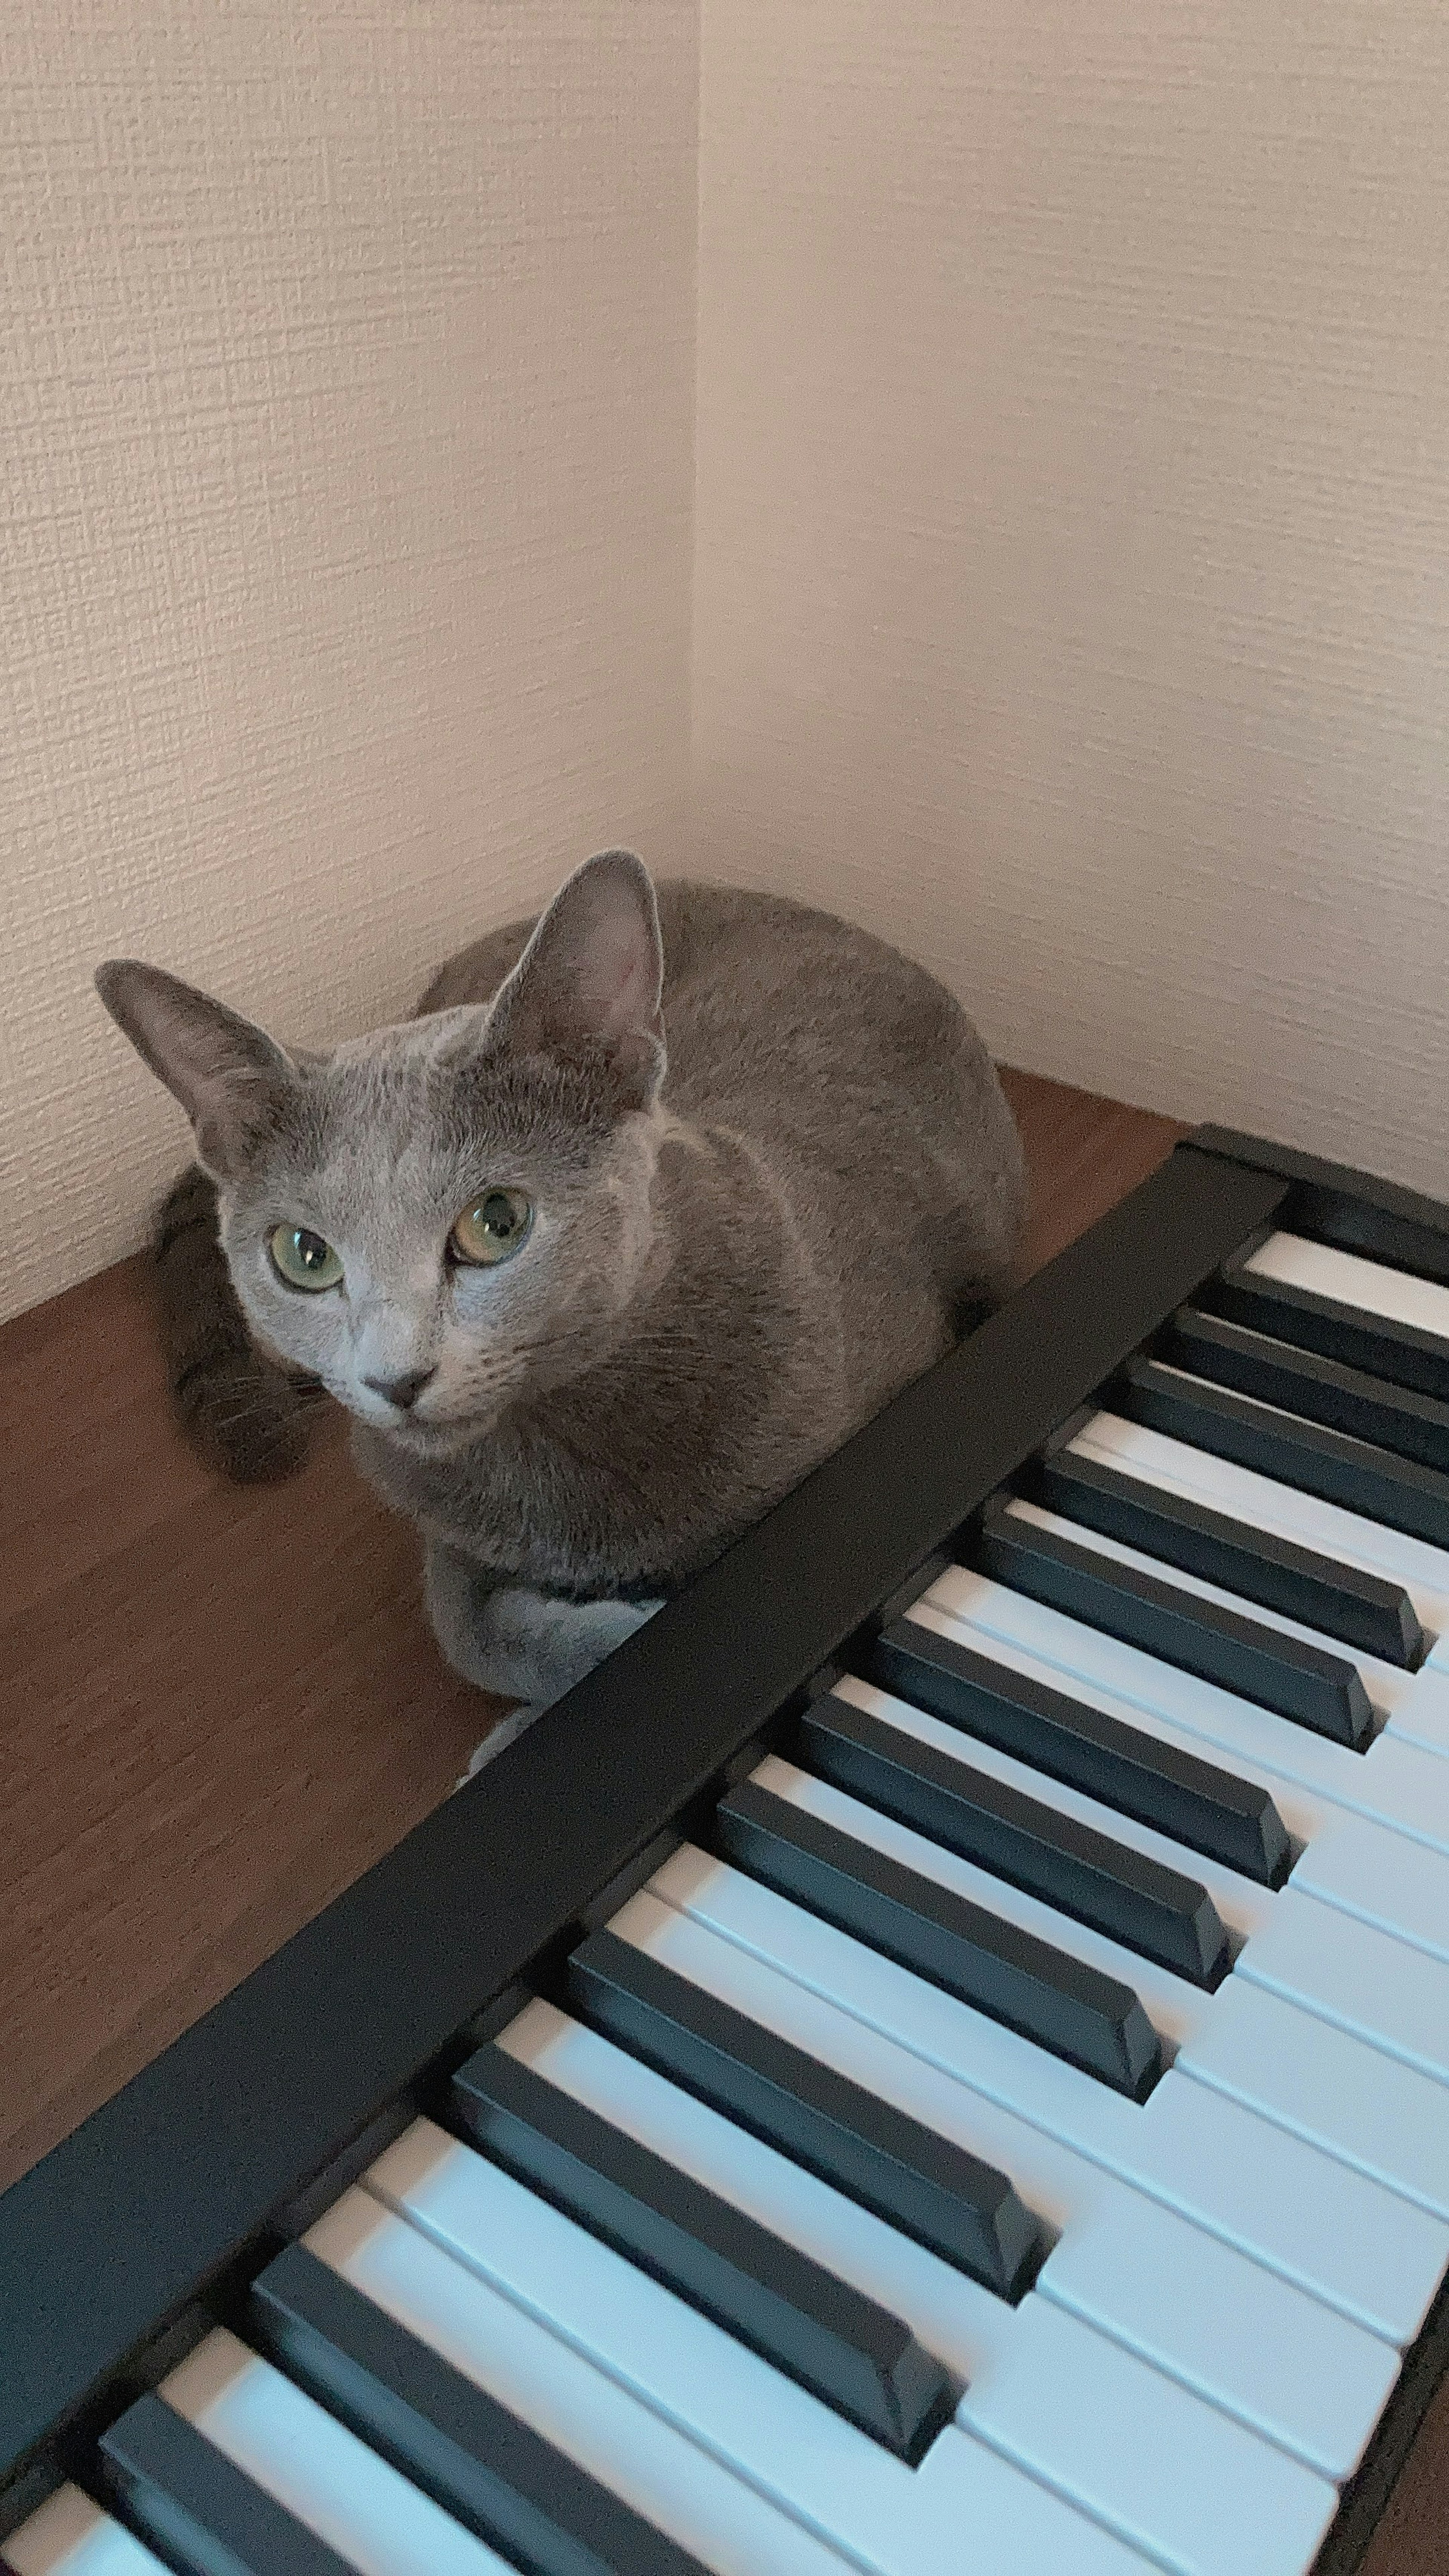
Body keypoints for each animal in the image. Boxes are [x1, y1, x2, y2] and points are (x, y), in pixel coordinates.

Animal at [96, 855, 1021, 1762]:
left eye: (497, 1222)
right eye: (305, 1255)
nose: (396, 1378)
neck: (554, 1456)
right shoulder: (440, 1518)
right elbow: (462, 1630)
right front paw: (598, 1648)